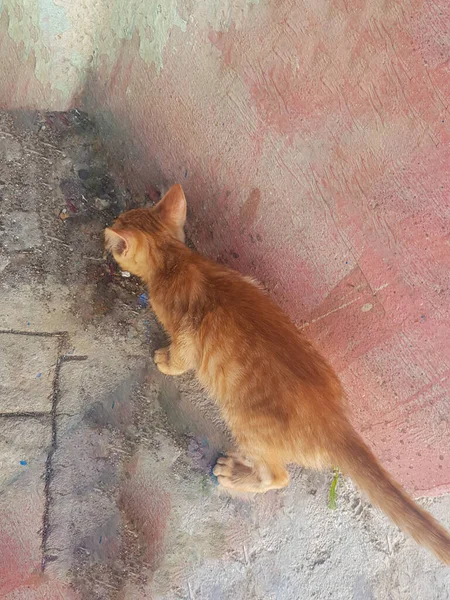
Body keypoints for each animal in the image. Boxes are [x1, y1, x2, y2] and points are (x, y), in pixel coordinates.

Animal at [106, 185, 450, 564]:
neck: (176, 260)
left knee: (278, 476)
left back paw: (236, 475)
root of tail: (335, 421)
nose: (109, 227)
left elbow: (181, 359)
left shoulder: (185, 335)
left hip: (243, 421)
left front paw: (164, 360)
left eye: (118, 224)